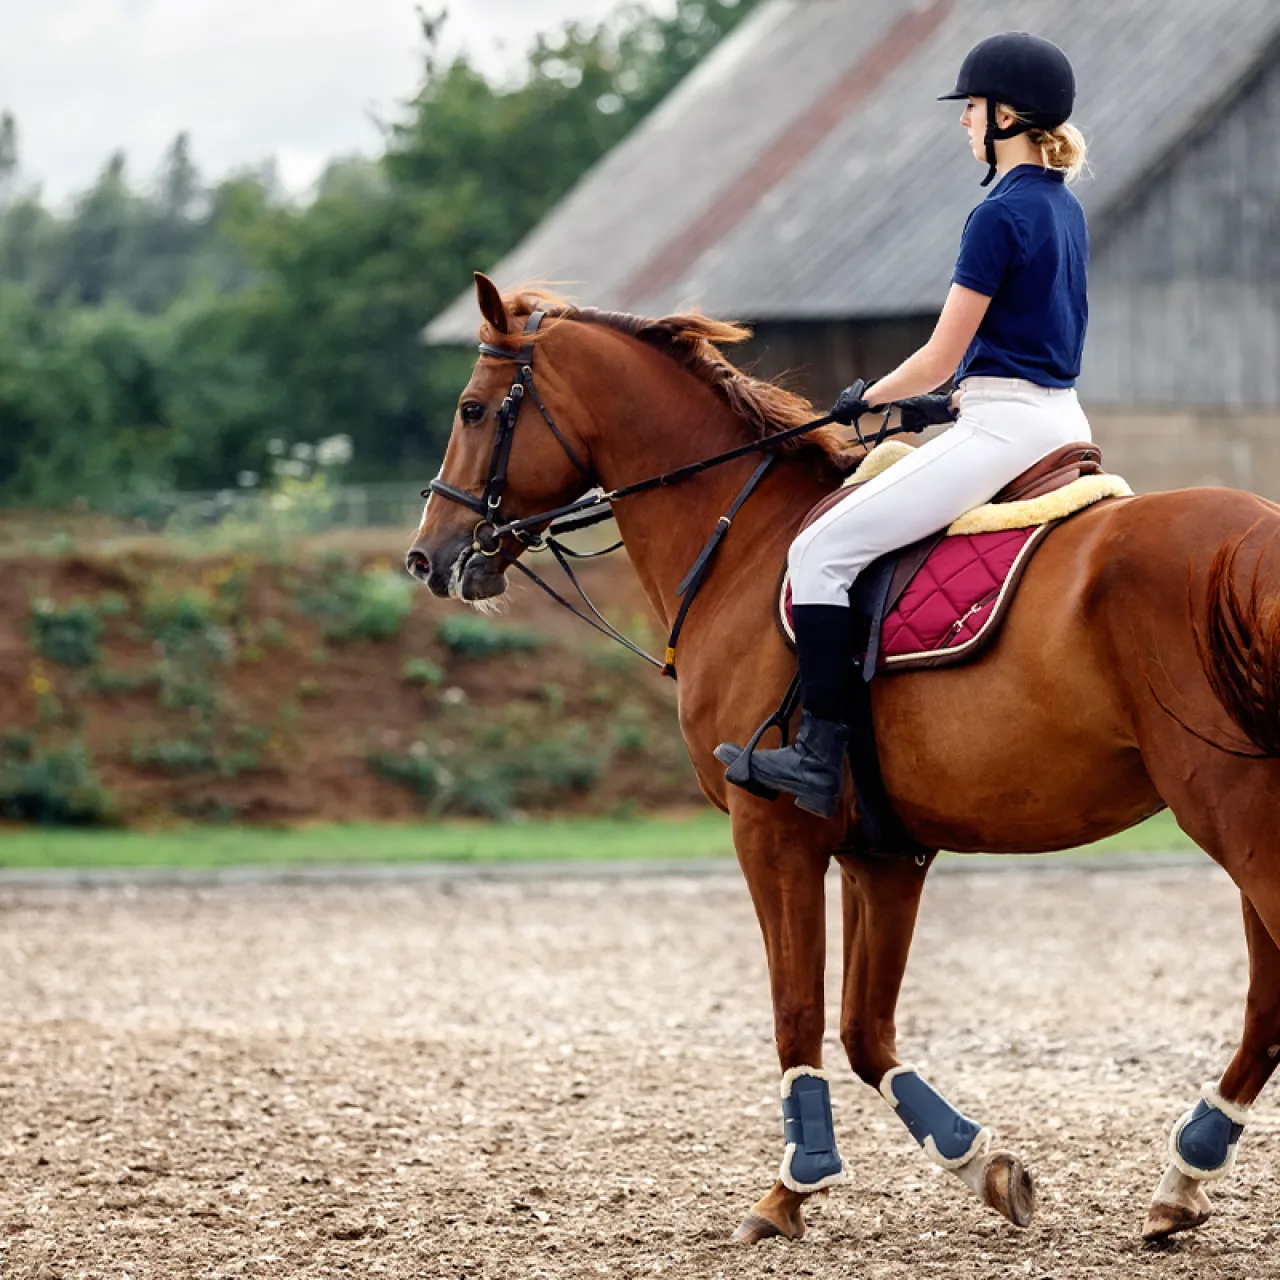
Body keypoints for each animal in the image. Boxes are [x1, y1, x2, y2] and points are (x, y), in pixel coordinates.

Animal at [407, 272, 1280, 1246]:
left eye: (472, 407)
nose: (428, 557)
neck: (744, 545)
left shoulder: (773, 834)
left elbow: (797, 1013)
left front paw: (792, 1189)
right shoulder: (883, 853)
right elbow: (867, 1032)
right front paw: (982, 1165)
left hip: (1232, 806)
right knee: (1267, 998)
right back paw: (1182, 1179)